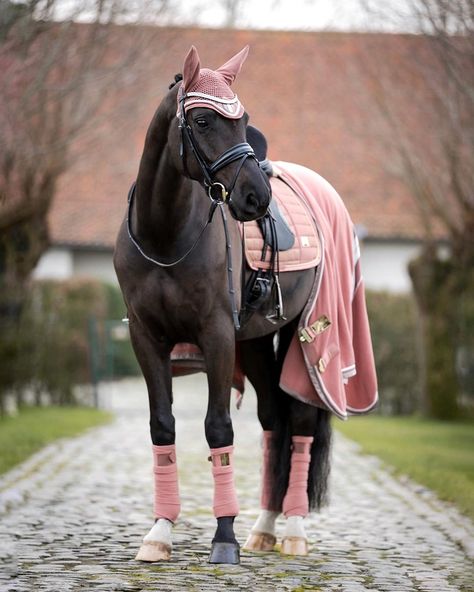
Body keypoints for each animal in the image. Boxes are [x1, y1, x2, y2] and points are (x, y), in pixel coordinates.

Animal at [113, 45, 332, 564]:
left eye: (243, 119)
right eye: (204, 121)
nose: (257, 197)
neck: (166, 235)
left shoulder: (214, 335)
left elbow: (218, 429)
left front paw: (224, 537)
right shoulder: (146, 338)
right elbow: (162, 427)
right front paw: (159, 533)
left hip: (299, 334)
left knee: (300, 422)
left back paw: (294, 530)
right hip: (251, 342)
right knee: (273, 419)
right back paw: (265, 527)